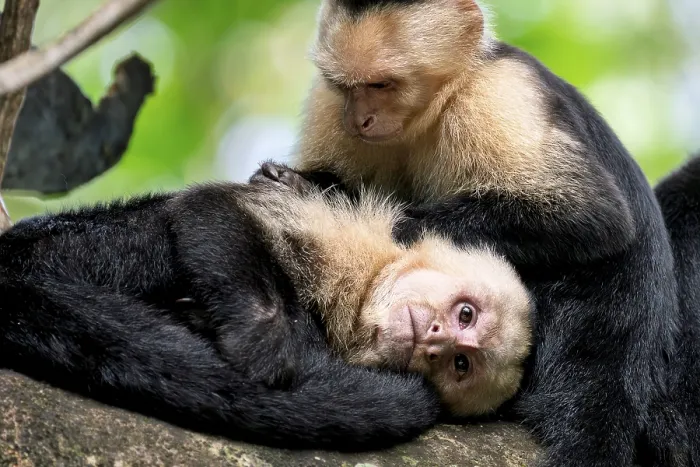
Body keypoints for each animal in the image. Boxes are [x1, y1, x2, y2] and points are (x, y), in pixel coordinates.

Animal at [0, 166, 533, 450]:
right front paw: (263, 347)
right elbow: (212, 208)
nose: (437, 339)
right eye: (465, 315)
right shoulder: (351, 243)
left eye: (461, 364)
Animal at [272, 0, 681, 464]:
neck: (429, 113)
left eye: (381, 84)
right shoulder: (330, 104)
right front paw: (299, 180)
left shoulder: (500, 91)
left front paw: (337, 199)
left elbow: (592, 218)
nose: (360, 120)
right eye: (346, 86)